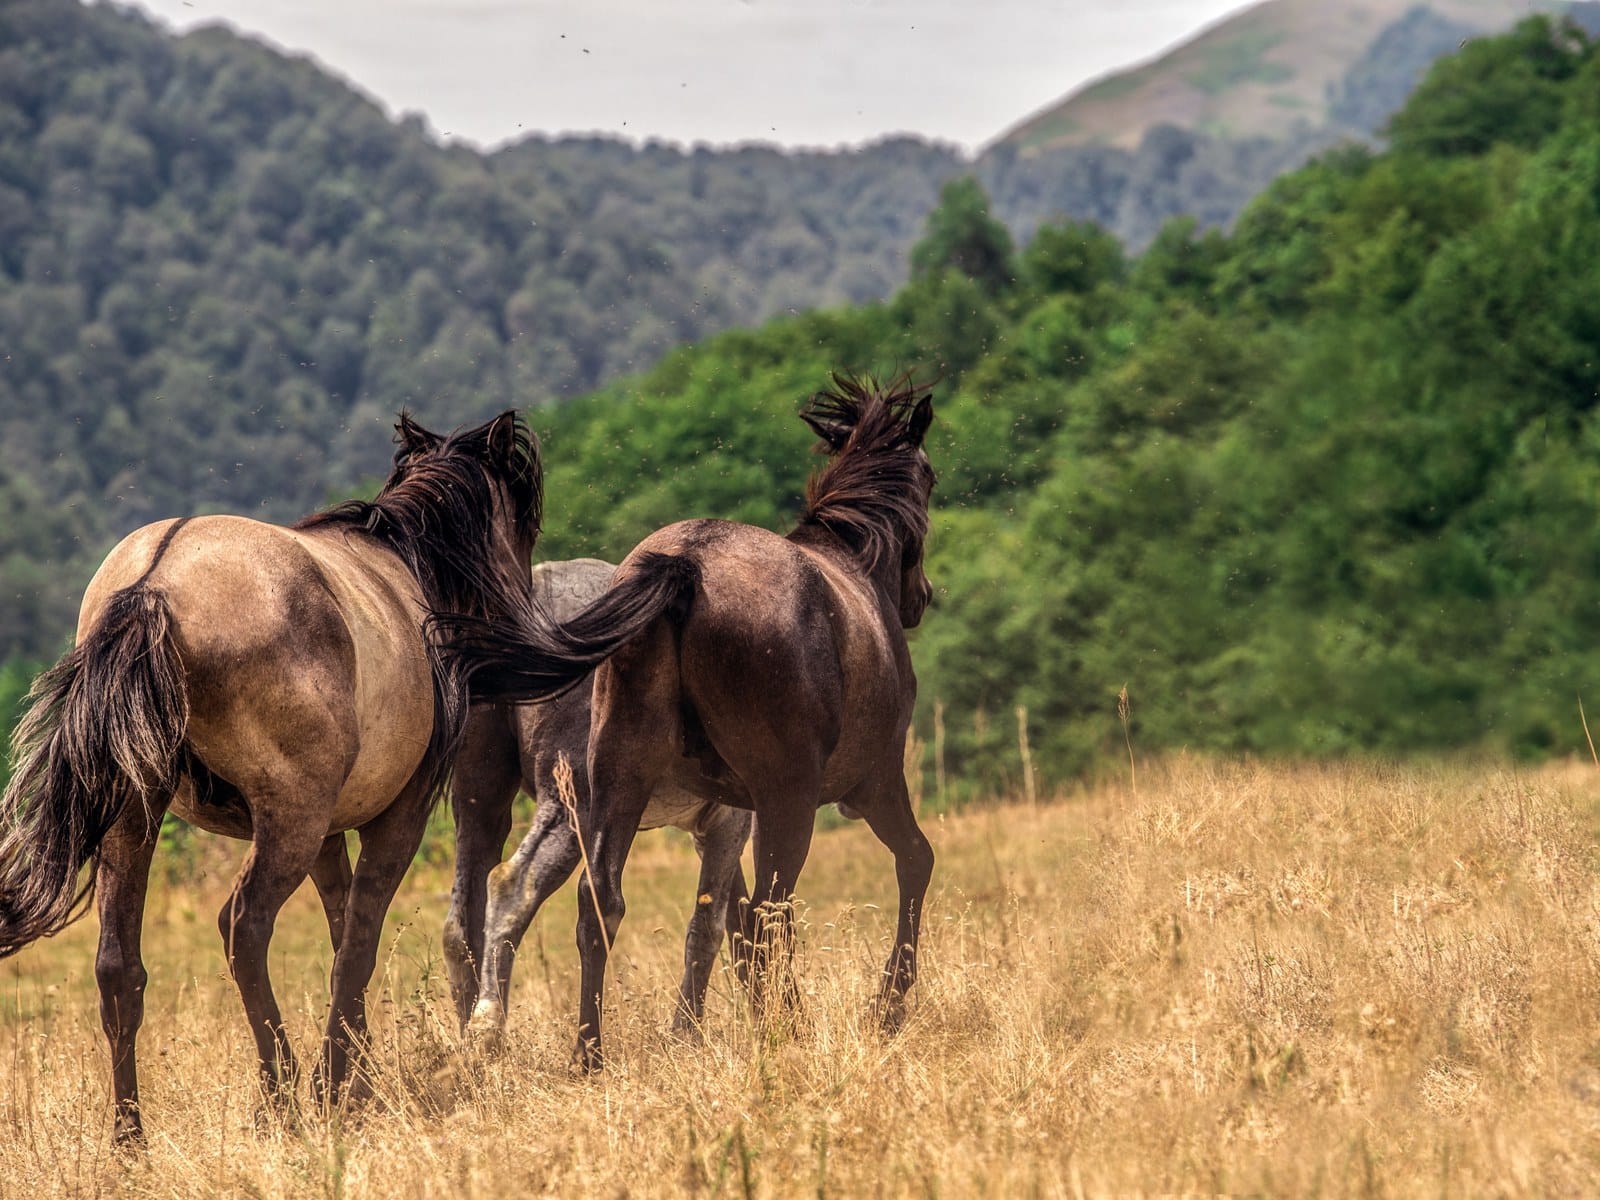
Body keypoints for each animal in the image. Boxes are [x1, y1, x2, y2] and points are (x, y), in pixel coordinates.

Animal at [0, 412, 541, 1144]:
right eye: (524, 525)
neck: (407, 574)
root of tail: (154, 585)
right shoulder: (393, 817)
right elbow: (357, 944)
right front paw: (338, 1086)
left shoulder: (328, 835)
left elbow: (342, 932)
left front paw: (359, 1078)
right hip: (287, 822)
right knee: (245, 927)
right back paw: (280, 1096)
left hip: (135, 817)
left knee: (118, 967)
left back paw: (130, 1137)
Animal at [442, 558, 754, 1051]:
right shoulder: (730, 820)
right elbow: (711, 926)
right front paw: (687, 1034)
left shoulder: (707, 829)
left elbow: (743, 922)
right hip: (577, 805)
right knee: (513, 886)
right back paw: (489, 1025)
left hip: (479, 796)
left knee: (461, 922)